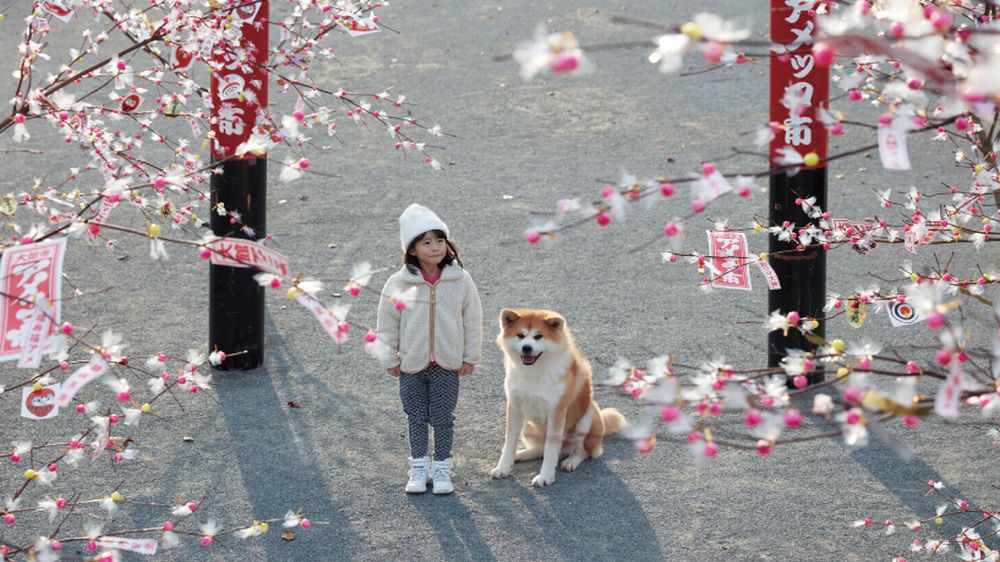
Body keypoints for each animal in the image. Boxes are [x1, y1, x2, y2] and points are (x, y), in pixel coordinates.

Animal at [490, 308, 624, 484]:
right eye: (520, 335)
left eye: (538, 336)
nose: (526, 348)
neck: (534, 372)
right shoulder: (515, 407)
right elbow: (509, 444)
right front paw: (503, 467)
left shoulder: (556, 412)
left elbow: (550, 450)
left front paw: (545, 476)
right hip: (527, 426)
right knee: (538, 450)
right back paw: (520, 454)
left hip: (587, 418)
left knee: (583, 451)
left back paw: (571, 461)